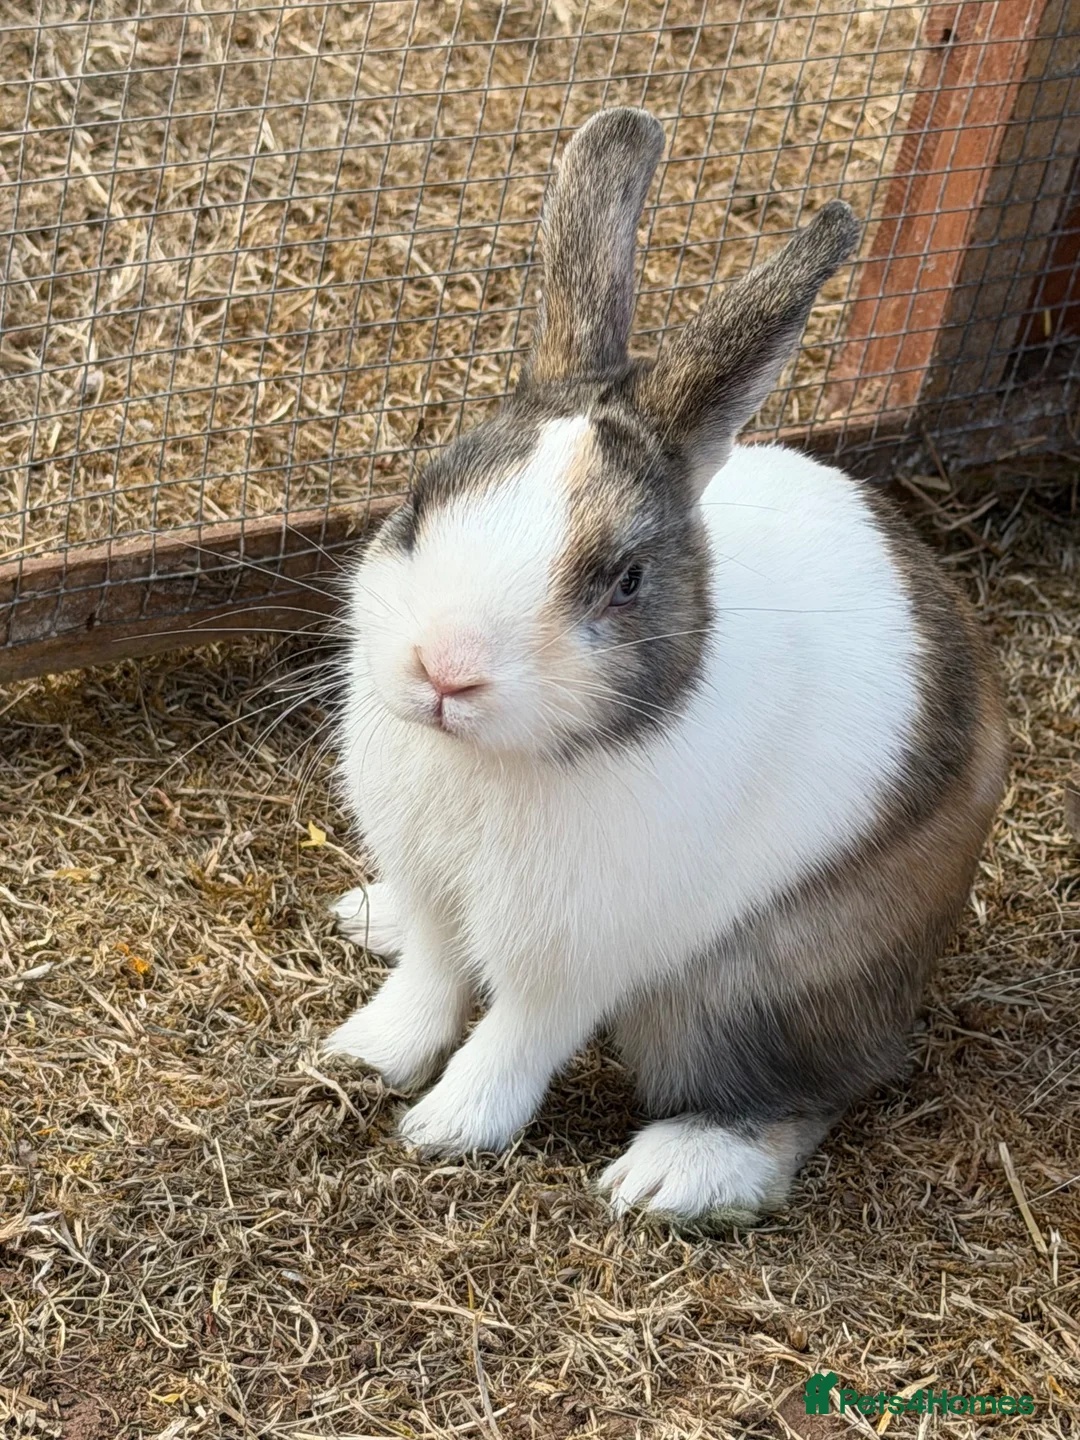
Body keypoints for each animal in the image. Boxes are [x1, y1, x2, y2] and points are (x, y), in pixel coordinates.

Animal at [321, 107, 1008, 1222]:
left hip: (749, 997)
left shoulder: (574, 952)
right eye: (421, 501)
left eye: (627, 580)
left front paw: (446, 1130)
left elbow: (517, 1035)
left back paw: (674, 1173)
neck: (493, 763)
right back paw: (364, 916)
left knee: (806, 1097)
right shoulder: (435, 891)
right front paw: (361, 1055)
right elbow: (427, 979)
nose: (445, 670)